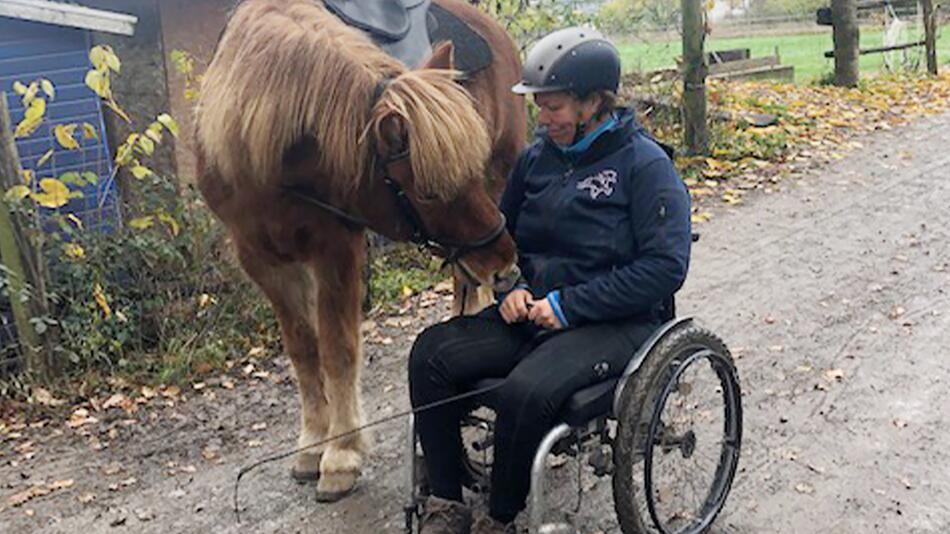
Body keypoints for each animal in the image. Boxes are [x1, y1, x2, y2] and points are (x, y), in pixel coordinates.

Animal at [191, 0, 524, 502]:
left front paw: (341, 454)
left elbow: (337, 349)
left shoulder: (336, 247)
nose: (504, 264)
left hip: (501, 175)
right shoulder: (261, 259)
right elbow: (303, 349)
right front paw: (312, 444)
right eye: (426, 193)